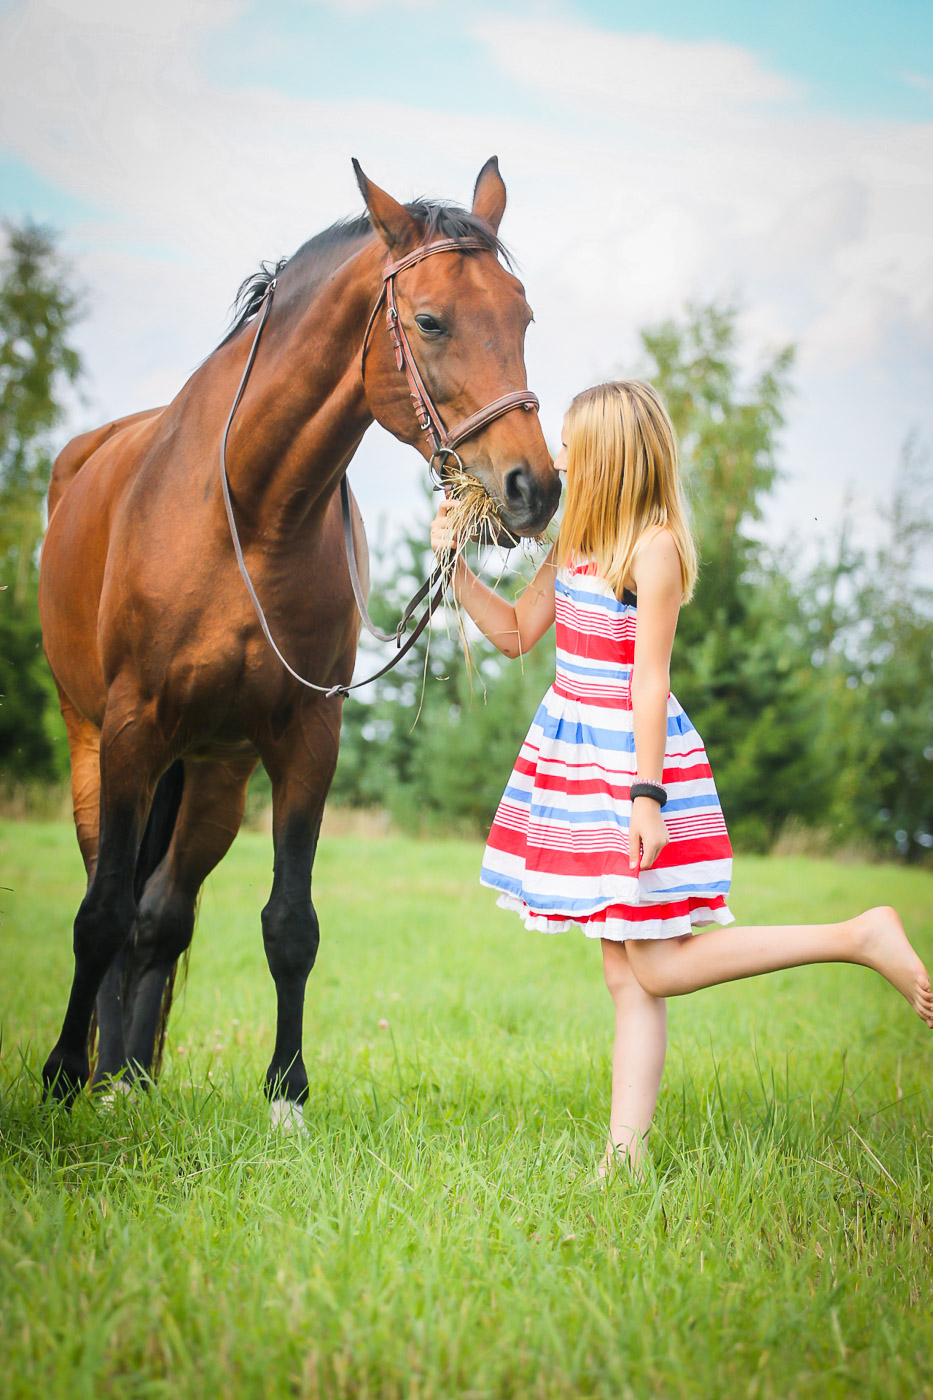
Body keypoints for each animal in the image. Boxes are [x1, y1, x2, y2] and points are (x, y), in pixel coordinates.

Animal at [36, 156, 554, 1114]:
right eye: (430, 320)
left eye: (523, 318)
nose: (533, 487)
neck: (248, 512)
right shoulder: (129, 729)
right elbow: (98, 913)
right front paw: (58, 1079)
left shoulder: (307, 738)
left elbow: (289, 924)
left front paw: (286, 1096)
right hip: (96, 745)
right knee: (112, 898)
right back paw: (98, 1075)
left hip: (216, 772)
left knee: (160, 914)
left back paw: (129, 1077)